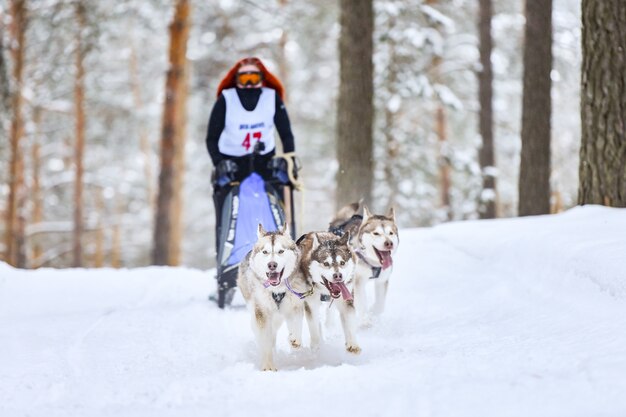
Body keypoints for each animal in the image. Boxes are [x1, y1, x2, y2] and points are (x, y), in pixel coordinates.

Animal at [236, 224, 310, 370]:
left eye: (281, 251)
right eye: (265, 252)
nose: (272, 265)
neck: (277, 290)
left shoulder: (295, 306)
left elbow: (297, 325)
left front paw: (295, 339)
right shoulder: (261, 312)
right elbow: (265, 341)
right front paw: (268, 367)